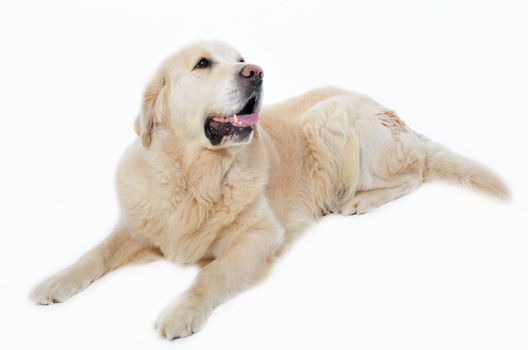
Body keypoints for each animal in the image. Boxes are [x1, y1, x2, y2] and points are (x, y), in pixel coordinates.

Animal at [31, 39, 510, 340]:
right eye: (202, 63)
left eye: (240, 57)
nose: (256, 71)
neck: (194, 175)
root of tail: (398, 119)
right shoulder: (139, 226)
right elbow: (94, 254)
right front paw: (54, 282)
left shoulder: (260, 236)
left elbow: (212, 274)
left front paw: (182, 311)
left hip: (328, 121)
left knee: (415, 172)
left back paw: (357, 201)